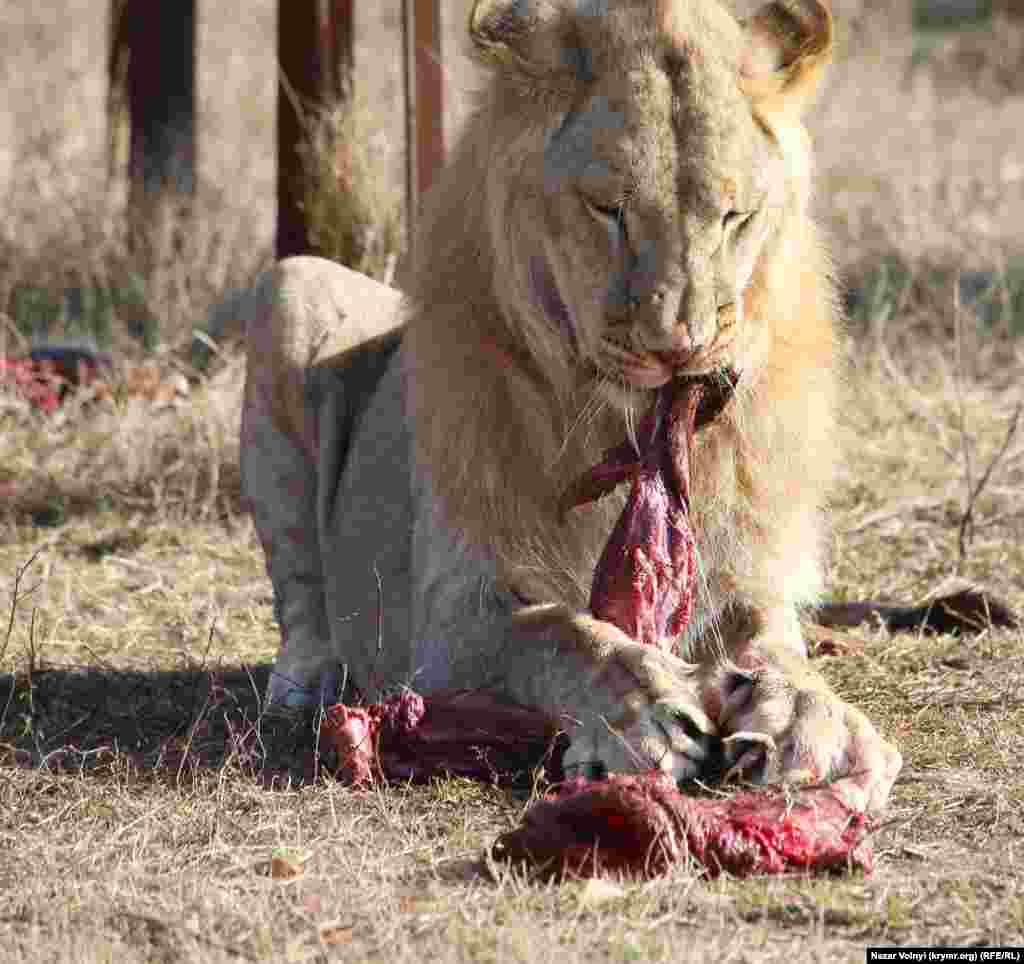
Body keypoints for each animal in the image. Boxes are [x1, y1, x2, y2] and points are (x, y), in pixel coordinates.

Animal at [241, 0, 905, 811]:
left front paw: (812, 721)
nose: (678, 348)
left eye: (733, 217)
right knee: (305, 604)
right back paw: (304, 690)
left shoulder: (744, 575)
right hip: (294, 286)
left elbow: (777, 647)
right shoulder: (450, 620)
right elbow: (563, 635)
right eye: (607, 209)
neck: (618, 439)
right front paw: (644, 711)